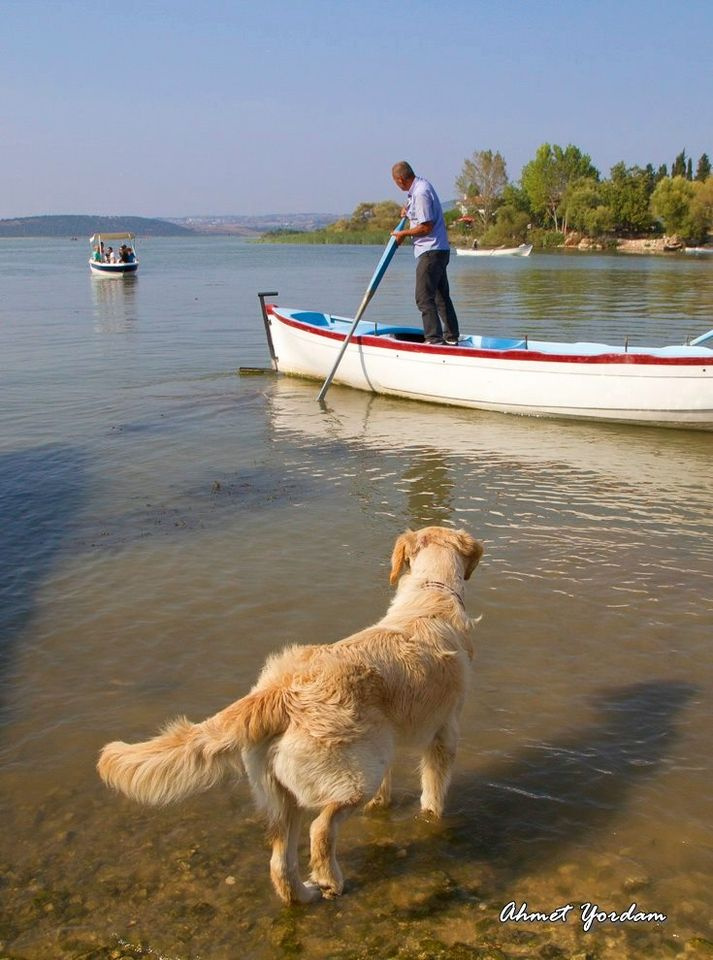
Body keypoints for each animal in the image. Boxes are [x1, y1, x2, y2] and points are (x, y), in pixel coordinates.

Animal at [96, 528, 484, 904]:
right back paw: (331, 881)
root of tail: (279, 690)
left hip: (284, 793)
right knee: (320, 830)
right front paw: (432, 818)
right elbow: (433, 791)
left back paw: (304, 895)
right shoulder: (444, 733)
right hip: (353, 778)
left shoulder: (384, 743)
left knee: (279, 863)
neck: (431, 593)